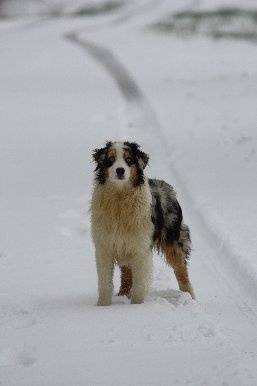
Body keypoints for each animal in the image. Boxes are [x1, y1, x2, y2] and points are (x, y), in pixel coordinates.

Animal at [90, 140, 194, 306]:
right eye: (111, 159)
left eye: (129, 160)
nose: (120, 170)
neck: (119, 198)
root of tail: (164, 184)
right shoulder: (104, 247)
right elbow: (105, 282)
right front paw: (103, 306)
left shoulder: (140, 249)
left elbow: (139, 284)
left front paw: (137, 307)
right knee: (126, 274)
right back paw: (123, 295)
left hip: (173, 238)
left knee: (181, 269)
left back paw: (190, 297)